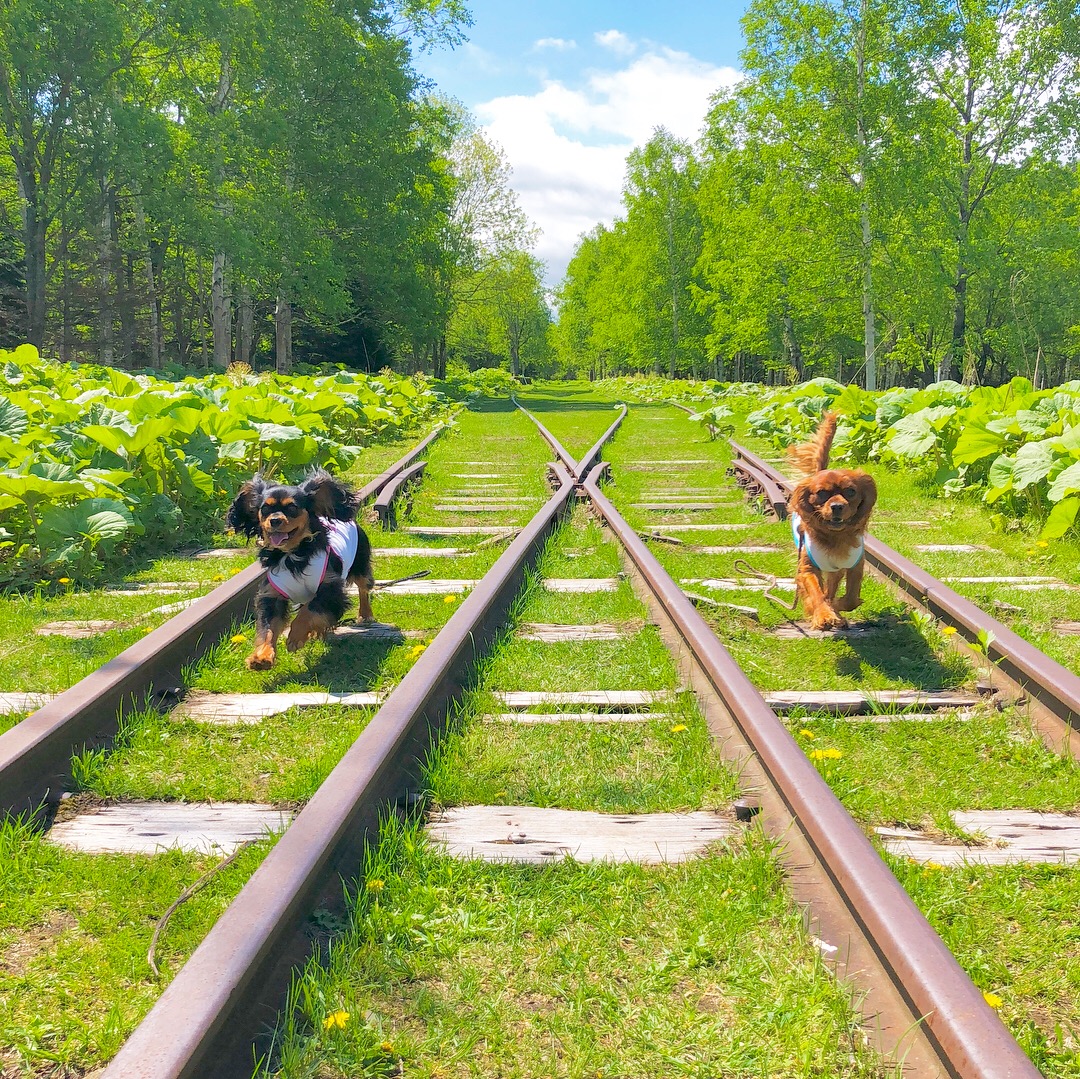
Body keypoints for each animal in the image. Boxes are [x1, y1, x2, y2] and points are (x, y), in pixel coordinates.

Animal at [225, 470, 373, 665]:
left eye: (292, 508)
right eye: (265, 509)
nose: (274, 520)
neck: (291, 554)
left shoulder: (330, 589)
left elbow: (307, 612)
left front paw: (296, 637)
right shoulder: (272, 594)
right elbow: (268, 628)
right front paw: (262, 657)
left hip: (360, 565)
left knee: (363, 588)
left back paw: (365, 614)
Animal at [786, 412, 876, 630]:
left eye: (850, 491)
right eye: (822, 493)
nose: (837, 506)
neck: (836, 537)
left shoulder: (854, 565)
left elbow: (850, 598)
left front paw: (837, 607)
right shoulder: (807, 568)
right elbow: (816, 593)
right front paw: (823, 615)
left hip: (836, 571)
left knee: (831, 588)